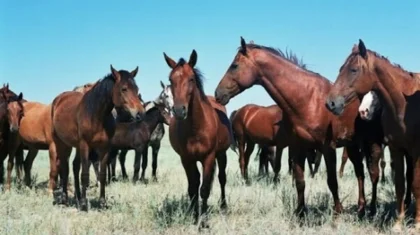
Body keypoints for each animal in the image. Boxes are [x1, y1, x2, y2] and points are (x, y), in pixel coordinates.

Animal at [50, 65, 144, 210]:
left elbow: (102, 174)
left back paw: (77, 197)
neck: (96, 115)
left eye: (137, 88)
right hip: (62, 143)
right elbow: (85, 174)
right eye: (124, 89)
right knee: (64, 167)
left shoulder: (104, 148)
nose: (140, 113)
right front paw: (84, 204)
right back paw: (65, 199)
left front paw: (102, 202)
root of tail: (59, 99)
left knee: (74, 166)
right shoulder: (85, 145)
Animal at [163, 49, 230, 228]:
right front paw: (194, 216)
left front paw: (204, 222)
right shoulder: (186, 159)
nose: (179, 110)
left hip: (221, 155)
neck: (196, 127)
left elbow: (204, 189)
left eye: (191, 79)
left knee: (222, 178)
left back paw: (224, 206)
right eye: (170, 80)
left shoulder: (209, 157)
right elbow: (193, 188)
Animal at [215, 37, 386, 218]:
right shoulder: (298, 147)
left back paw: (370, 208)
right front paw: (300, 212)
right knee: (360, 172)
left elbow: (332, 181)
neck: (308, 100)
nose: (218, 93)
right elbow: (299, 181)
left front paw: (338, 212)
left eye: (234, 66)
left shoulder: (327, 148)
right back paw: (361, 208)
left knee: (372, 173)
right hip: (352, 145)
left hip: (371, 144)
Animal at [324, 39, 420, 231]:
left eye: (353, 70)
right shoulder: (396, 149)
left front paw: (418, 223)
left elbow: (416, 185)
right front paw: (398, 223)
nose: (331, 103)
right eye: (340, 69)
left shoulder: (417, 150)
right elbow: (400, 184)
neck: (404, 105)